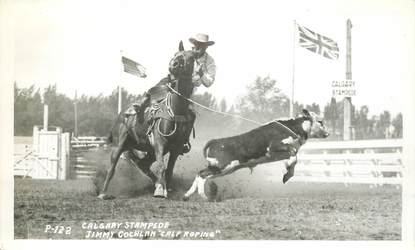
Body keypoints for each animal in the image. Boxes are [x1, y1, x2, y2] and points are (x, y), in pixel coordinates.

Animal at [98, 42, 196, 199]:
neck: (176, 110)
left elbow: (169, 169)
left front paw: (166, 189)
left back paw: (157, 183)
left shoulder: (176, 148)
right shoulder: (159, 143)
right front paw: (160, 191)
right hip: (120, 144)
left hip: (146, 148)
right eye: (176, 54)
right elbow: (162, 166)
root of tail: (121, 114)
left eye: (192, 57)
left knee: (143, 164)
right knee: (112, 167)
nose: (173, 65)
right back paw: (103, 193)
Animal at [184, 109, 330, 201]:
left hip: (224, 168)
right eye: (320, 121)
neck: (293, 127)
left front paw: (287, 175)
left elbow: (293, 162)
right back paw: (204, 197)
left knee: (200, 173)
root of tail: (214, 142)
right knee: (202, 175)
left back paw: (187, 195)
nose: (328, 134)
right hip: (223, 166)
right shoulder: (274, 148)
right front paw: (287, 170)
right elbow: (294, 156)